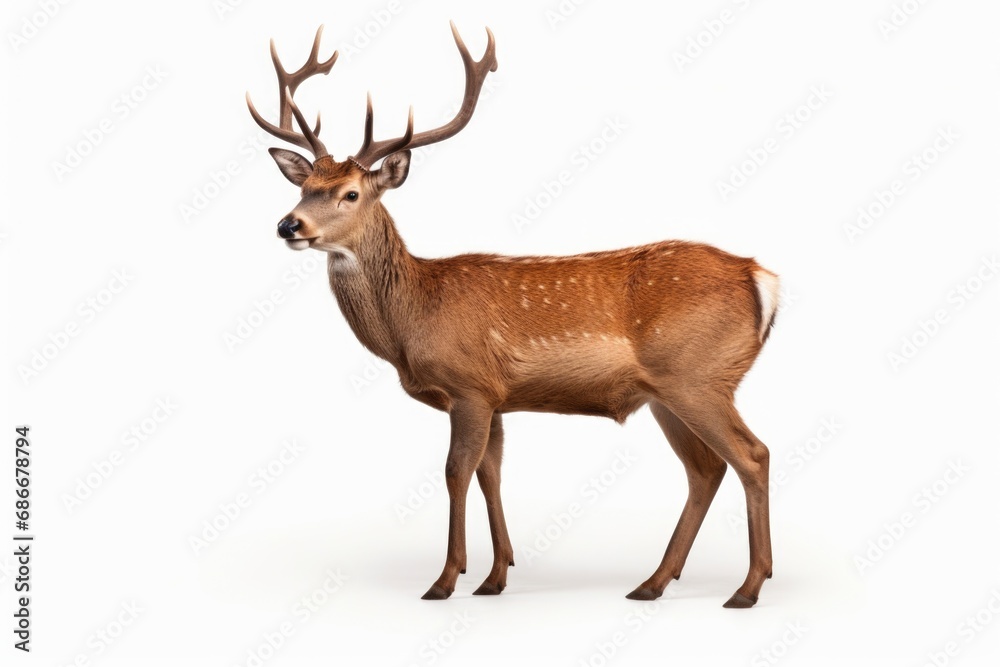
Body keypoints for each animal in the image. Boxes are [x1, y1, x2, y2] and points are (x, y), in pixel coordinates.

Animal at [247, 22, 780, 608]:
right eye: (303, 187)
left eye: (350, 193)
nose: (289, 225)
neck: (411, 324)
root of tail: (761, 278)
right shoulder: (497, 395)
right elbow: (491, 474)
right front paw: (496, 576)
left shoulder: (469, 386)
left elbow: (455, 472)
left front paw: (445, 579)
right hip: (667, 391)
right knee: (705, 469)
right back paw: (653, 582)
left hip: (699, 375)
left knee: (752, 455)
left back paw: (747, 587)